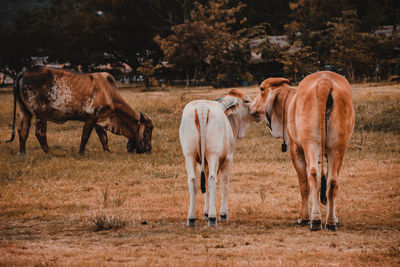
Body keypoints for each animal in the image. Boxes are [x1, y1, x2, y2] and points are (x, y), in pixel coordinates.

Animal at [6, 65, 153, 155]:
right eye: (148, 130)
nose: (148, 148)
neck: (109, 93)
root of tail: (24, 72)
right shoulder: (92, 115)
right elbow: (85, 136)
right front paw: (81, 153)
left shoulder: (100, 119)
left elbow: (104, 138)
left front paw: (107, 151)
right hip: (40, 112)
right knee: (40, 133)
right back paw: (50, 153)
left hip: (25, 111)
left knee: (22, 131)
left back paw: (22, 153)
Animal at [252, 71, 354, 232]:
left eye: (261, 89)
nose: (251, 108)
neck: (289, 103)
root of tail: (325, 82)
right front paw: (336, 219)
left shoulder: (296, 149)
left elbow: (304, 186)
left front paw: (304, 217)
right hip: (338, 146)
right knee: (332, 181)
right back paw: (331, 222)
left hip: (310, 144)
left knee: (313, 176)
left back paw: (315, 220)